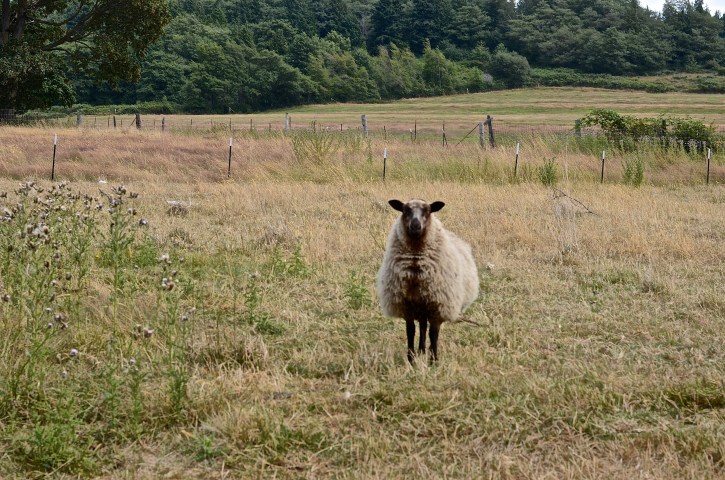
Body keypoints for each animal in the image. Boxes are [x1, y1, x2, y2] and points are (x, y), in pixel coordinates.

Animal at [376, 198, 479, 363]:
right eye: (405, 210)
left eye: (428, 211)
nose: (415, 226)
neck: (416, 267)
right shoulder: (408, 307)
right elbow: (410, 332)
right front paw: (411, 359)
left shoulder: (438, 305)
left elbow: (434, 334)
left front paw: (434, 361)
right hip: (421, 307)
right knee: (422, 327)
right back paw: (421, 350)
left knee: (426, 328)